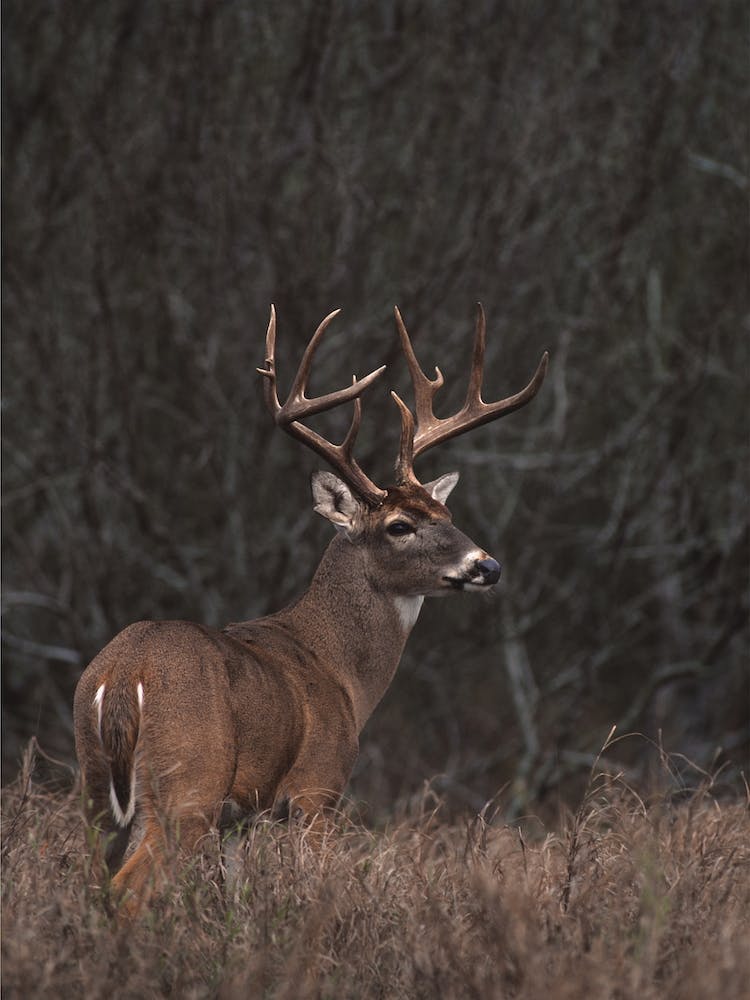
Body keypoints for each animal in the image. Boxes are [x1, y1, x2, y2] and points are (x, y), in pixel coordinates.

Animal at [73, 304, 548, 912]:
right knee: (127, 888)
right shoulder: (317, 787)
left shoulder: (241, 817)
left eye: (446, 513)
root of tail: (122, 674)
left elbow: (237, 894)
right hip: (187, 784)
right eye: (400, 526)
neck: (340, 670)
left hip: (95, 787)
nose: (487, 566)